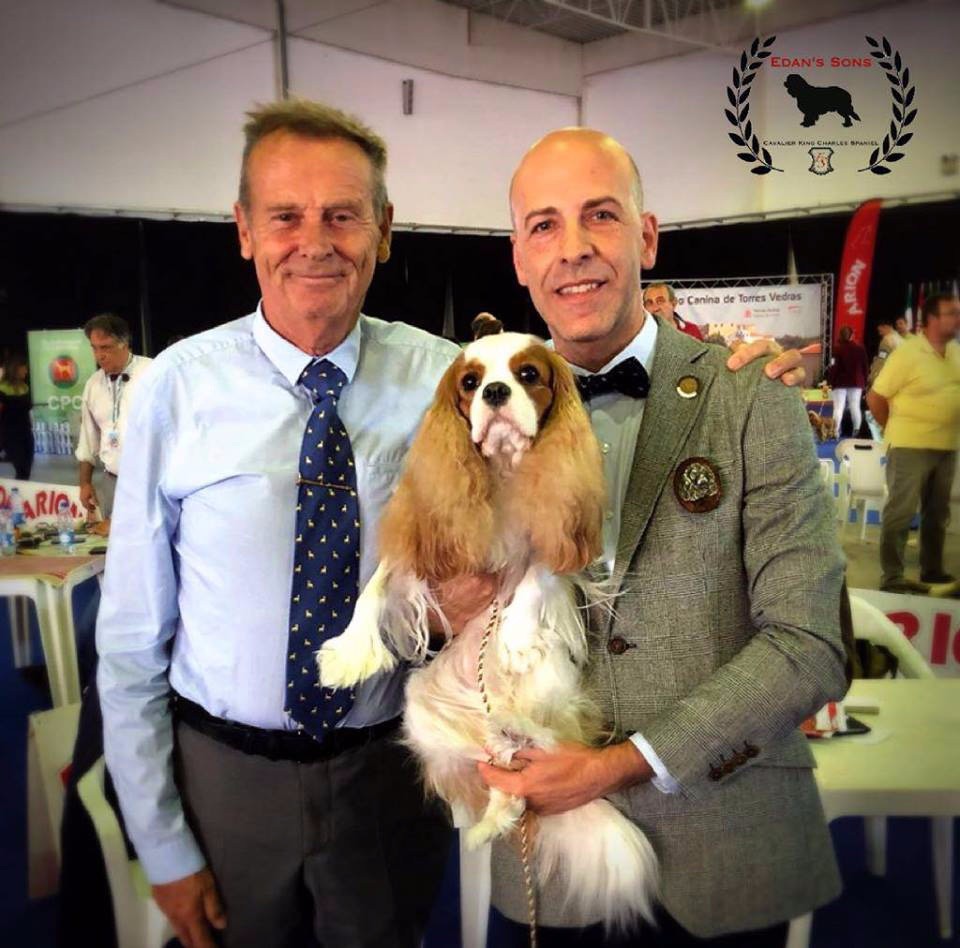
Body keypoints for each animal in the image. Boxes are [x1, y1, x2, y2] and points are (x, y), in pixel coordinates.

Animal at [317, 331, 658, 932]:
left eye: (528, 374)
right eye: (470, 383)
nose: (496, 393)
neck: (500, 471)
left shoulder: (553, 531)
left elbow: (535, 576)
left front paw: (517, 635)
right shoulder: (427, 539)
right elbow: (376, 586)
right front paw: (349, 653)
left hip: (549, 693)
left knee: (530, 755)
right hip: (424, 706)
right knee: (505, 776)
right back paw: (489, 820)